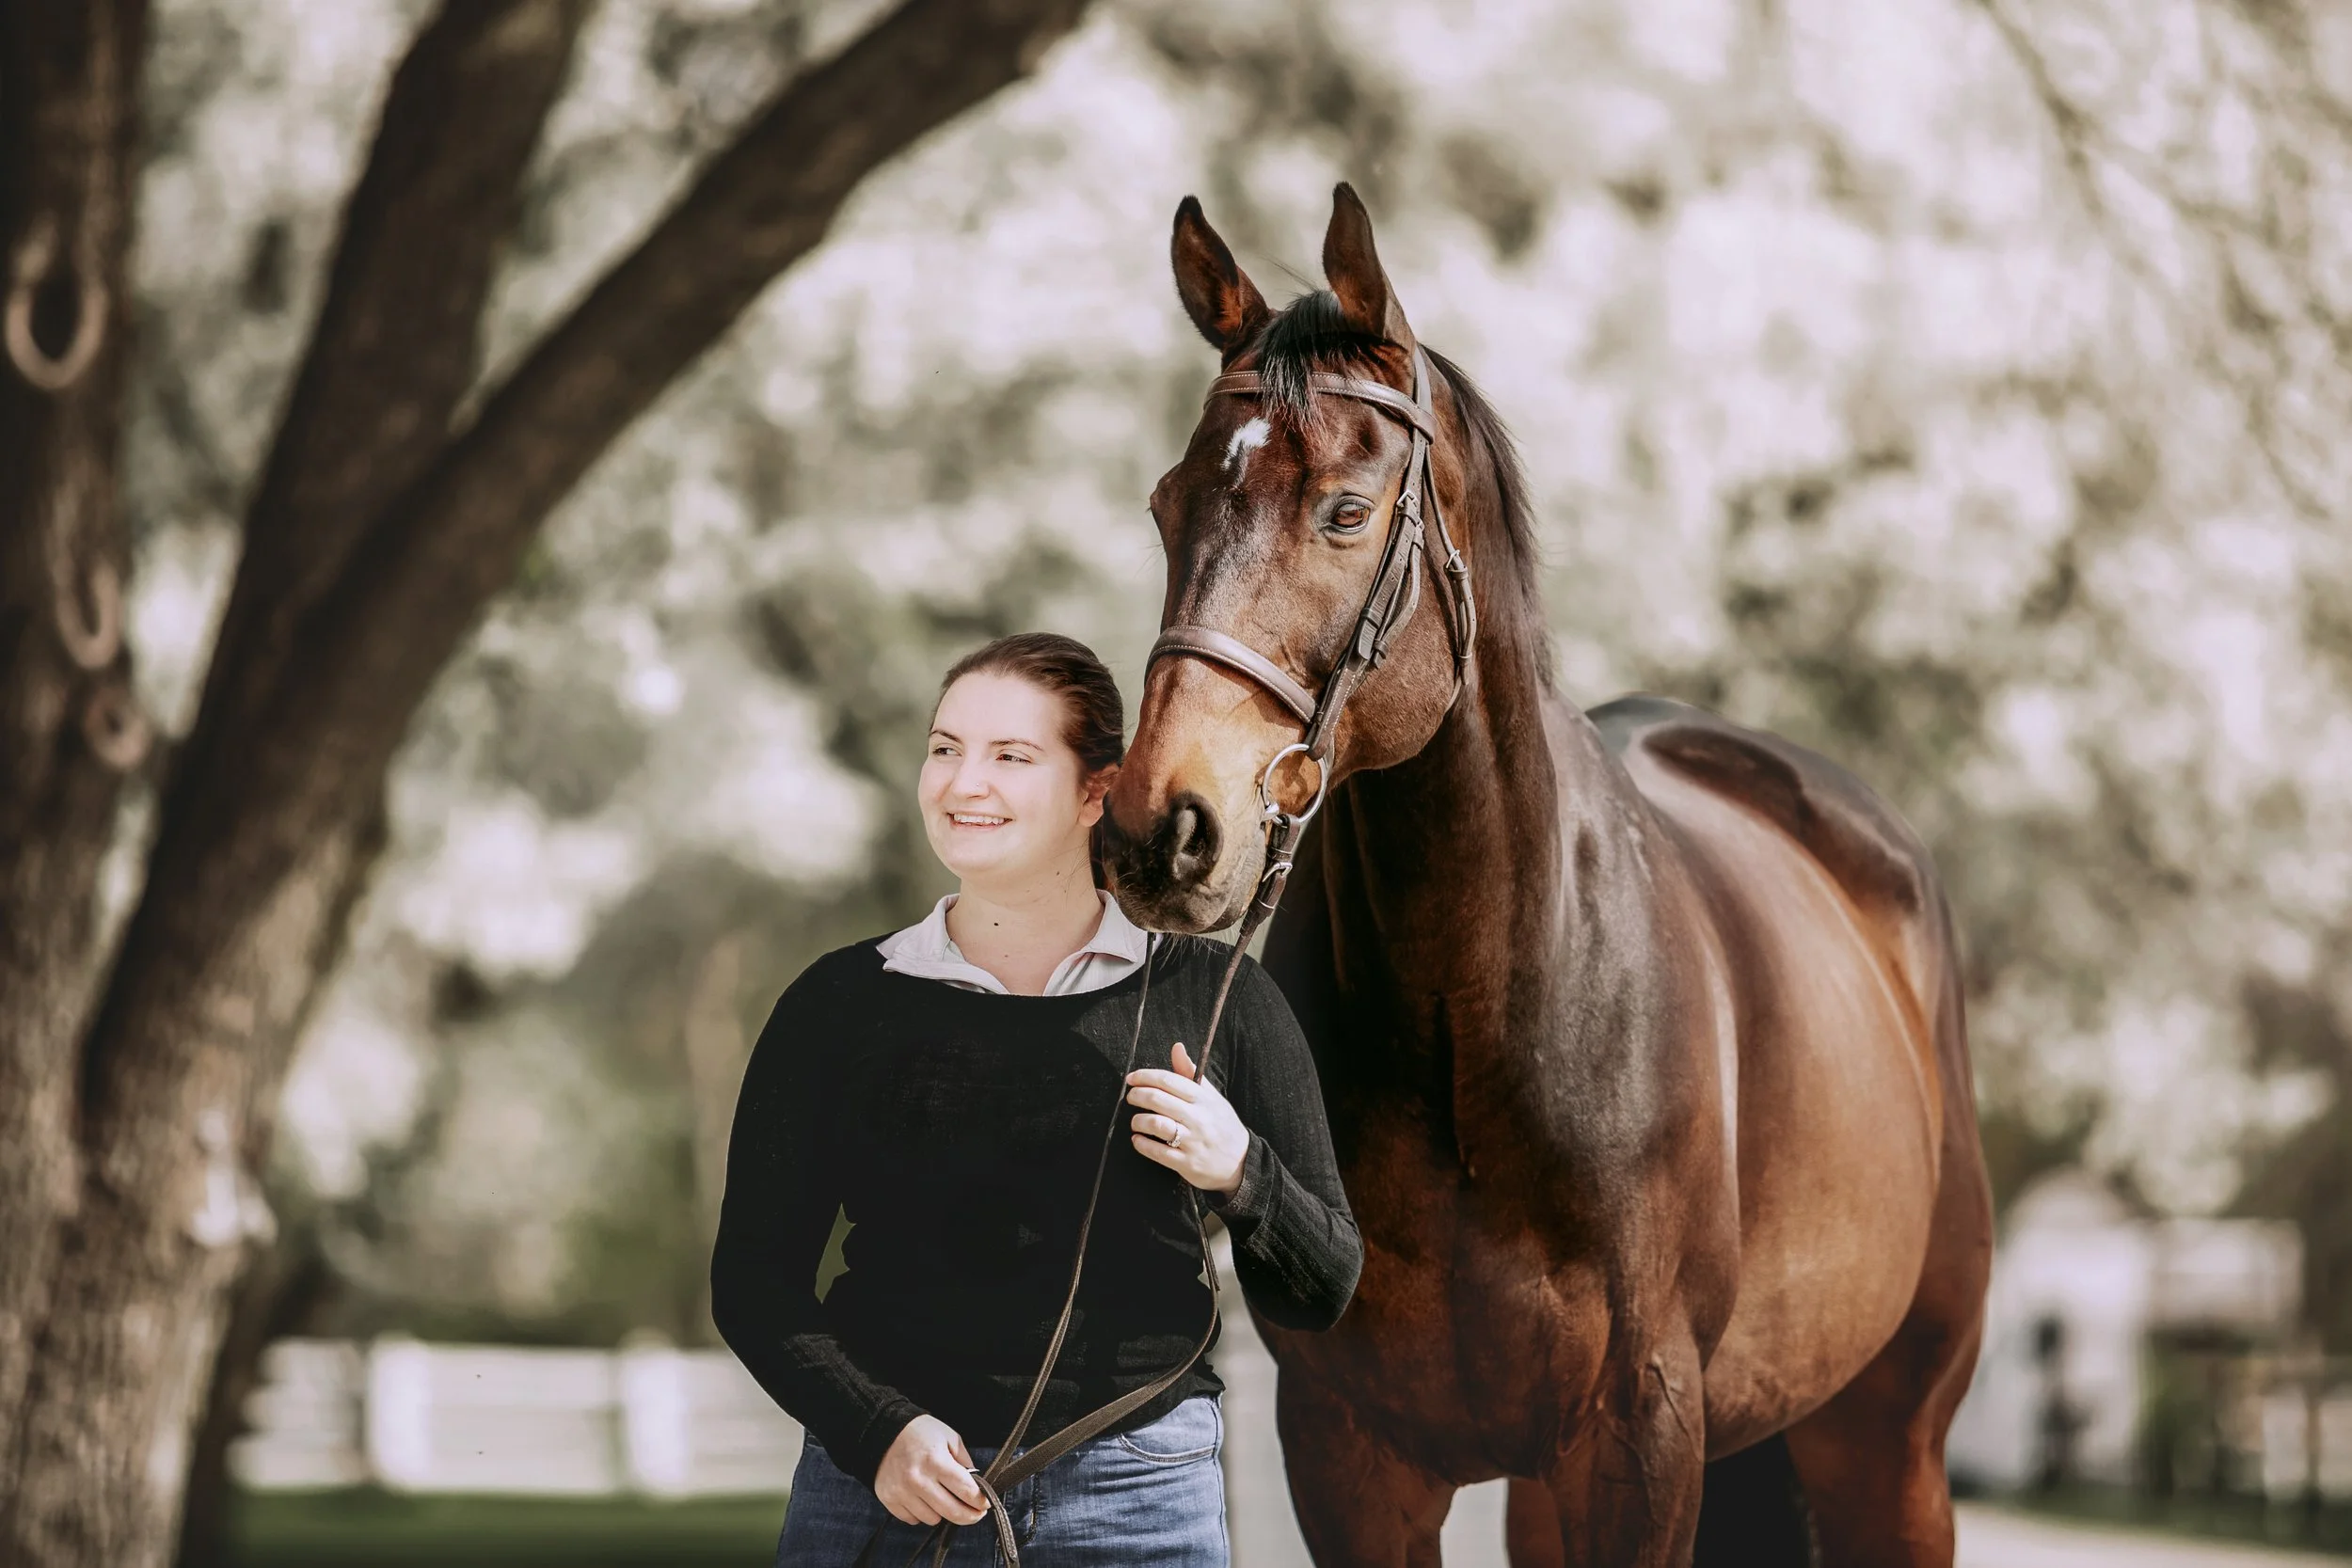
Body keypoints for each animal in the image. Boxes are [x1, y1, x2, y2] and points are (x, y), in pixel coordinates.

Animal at [1101, 185, 1992, 1567]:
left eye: (1345, 510)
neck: (1483, 1017)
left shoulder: (1638, 1435)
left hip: (1885, 1448)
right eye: (1164, 505)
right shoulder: (1351, 1452)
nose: (1161, 827)